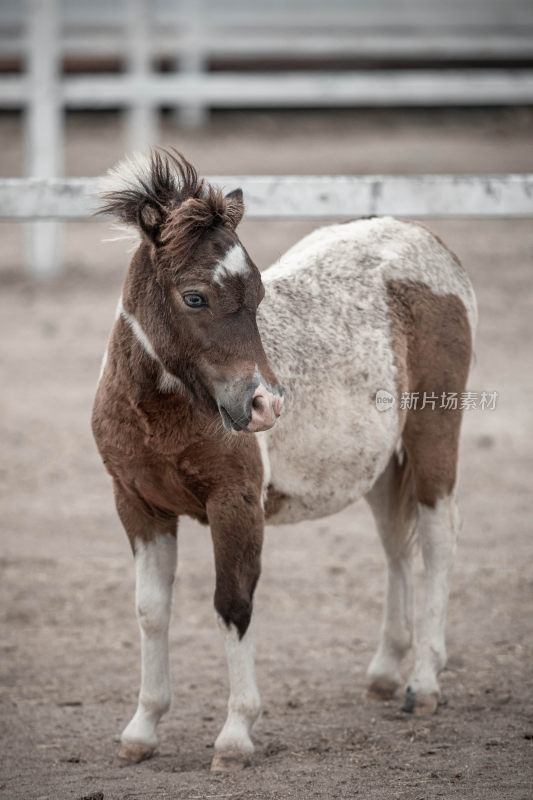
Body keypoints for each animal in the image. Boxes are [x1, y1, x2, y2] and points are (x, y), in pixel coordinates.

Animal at [91, 148, 474, 768]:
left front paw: (236, 735)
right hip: (378, 463)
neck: (160, 413)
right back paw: (385, 672)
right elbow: (151, 611)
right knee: (397, 544)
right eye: (194, 296)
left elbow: (233, 603)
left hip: (433, 433)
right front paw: (142, 730)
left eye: (259, 296)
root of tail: (425, 237)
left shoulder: (236, 503)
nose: (264, 404)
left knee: (437, 539)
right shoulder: (138, 505)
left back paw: (423, 685)